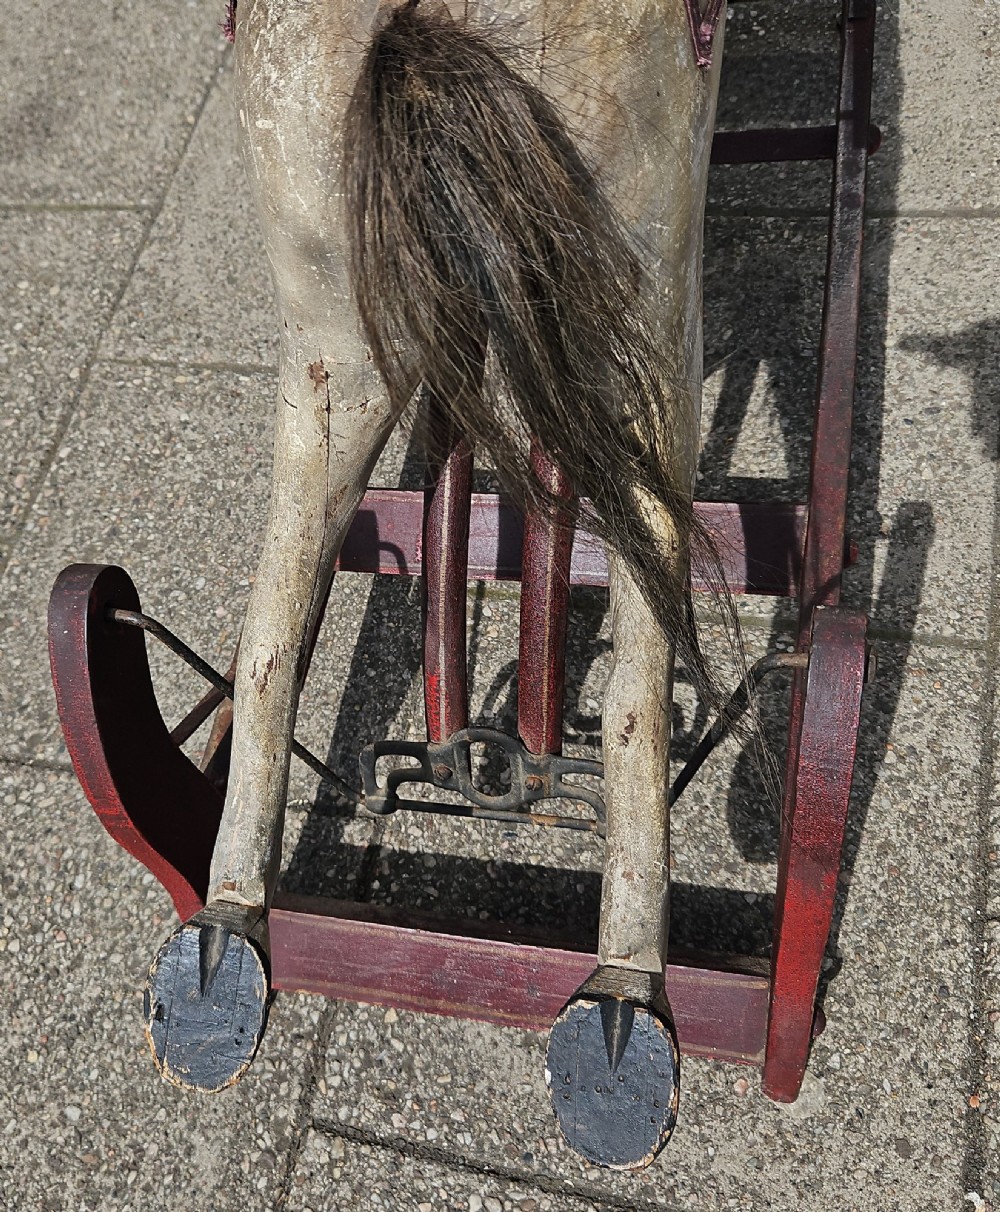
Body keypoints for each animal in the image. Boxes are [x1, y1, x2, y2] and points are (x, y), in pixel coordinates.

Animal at [144, 0, 726, 1170]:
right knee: (641, 684)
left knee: (270, 638)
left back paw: (223, 947)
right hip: (647, 304)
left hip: (330, 328)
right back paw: (622, 1007)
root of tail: (421, 23)